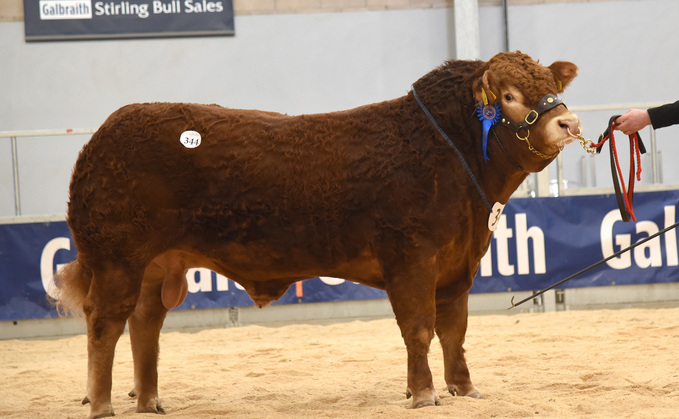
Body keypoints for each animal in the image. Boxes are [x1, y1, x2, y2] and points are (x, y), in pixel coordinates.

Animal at [55, 51, 580, 416]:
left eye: (549, 85)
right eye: (508, 96)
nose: (569, 121)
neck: (447, 153)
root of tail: (105, 133)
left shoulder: (457, 264)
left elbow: (455, 331)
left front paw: (465, 388)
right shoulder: (411, 258)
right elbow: (419, 328)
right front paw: (424, 394)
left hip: (156, 267)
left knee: (145, 324)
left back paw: (149, 402)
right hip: (116, 260)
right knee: (104, 325)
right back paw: (102, 405)